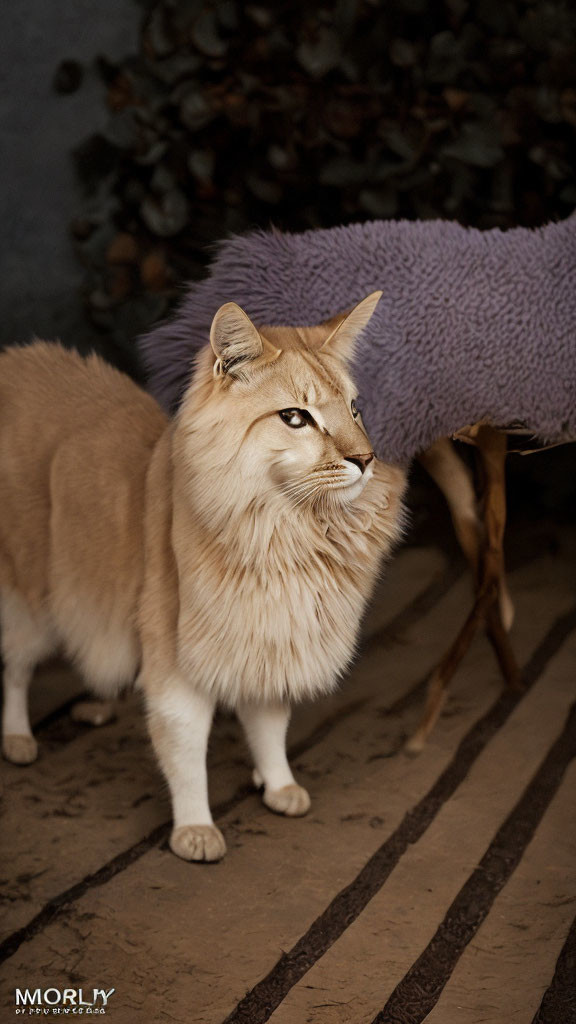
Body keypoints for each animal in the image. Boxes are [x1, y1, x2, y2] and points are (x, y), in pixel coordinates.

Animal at [0, 292, 403, 860]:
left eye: (354, 410)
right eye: (295, 418)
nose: (365, 460)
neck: (287, 533)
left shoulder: (268, 644)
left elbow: (269, 727)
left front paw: (277, 784)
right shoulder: (177, 663)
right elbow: (186, 751)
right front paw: (195, 827)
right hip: (30, 599)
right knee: (15, 669)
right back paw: (17, 738)